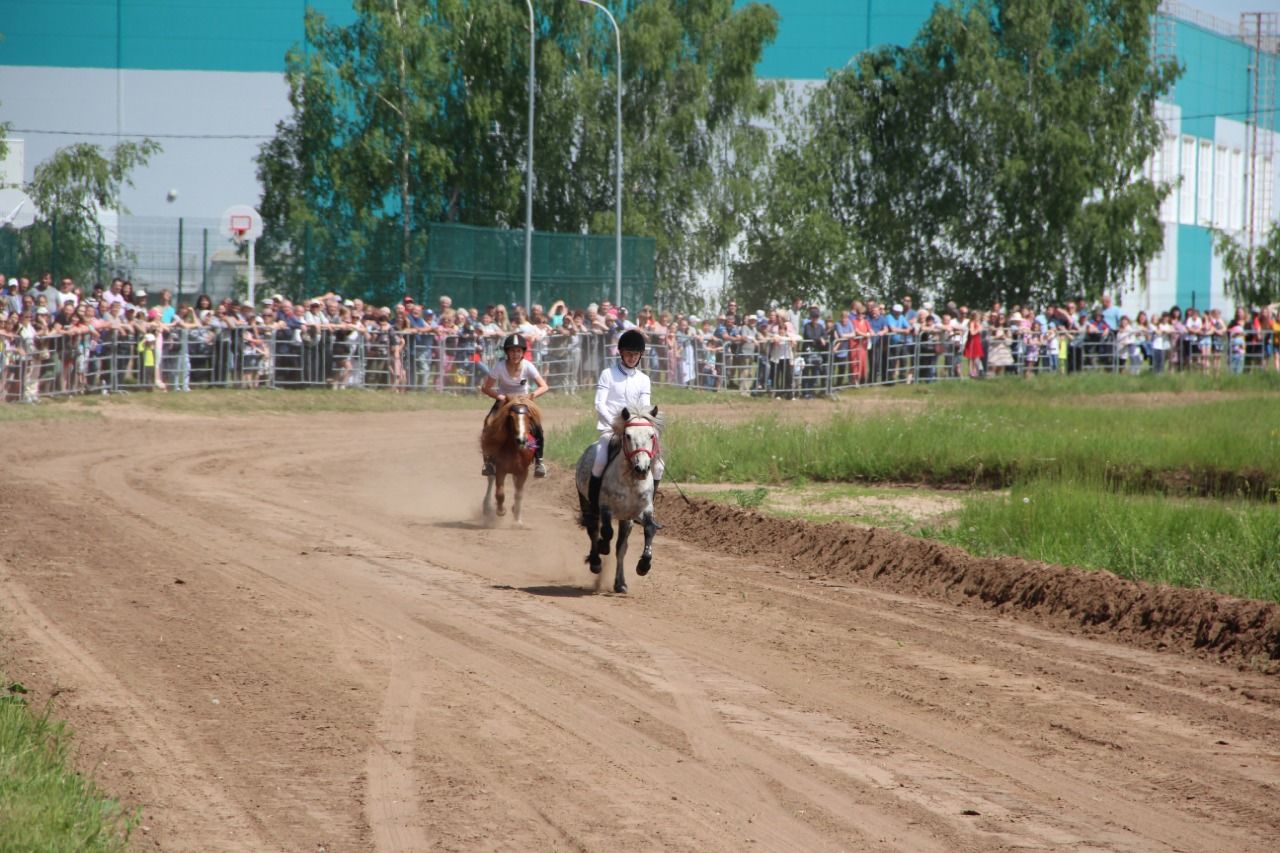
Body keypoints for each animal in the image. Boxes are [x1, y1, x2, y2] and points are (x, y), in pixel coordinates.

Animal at [481, 394, 540, 525]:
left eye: (529, 416)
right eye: (511, 417)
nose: (521, 440)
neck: (515, 449)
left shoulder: (523, 471)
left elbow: (519, 494)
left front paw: (517, 519)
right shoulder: (500, 469)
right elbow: (500, 493)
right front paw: (501, 511)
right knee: (490, 479)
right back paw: (487, 507)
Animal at [578, 404, 665, 591]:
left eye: (651, 435)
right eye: (628, 435)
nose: (642, 468)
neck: (631, 480)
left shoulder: (643, 510)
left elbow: (649, 529)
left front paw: (644, 565)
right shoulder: (606, 508)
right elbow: (606, 532)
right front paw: (603, 548)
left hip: (626, 519)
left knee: (620, 549)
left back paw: (620, 583)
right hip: (587, 503)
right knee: (593, 530)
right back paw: (596, 562)